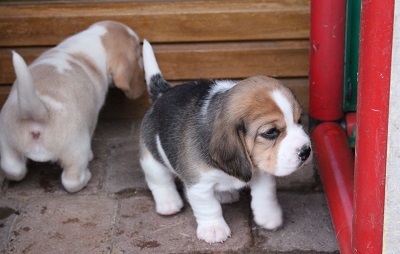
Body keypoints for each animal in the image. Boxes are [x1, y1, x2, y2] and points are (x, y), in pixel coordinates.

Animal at [0, 20, 144, 192]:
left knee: (15, 170)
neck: (94, 38)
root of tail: (40, 112)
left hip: (7, 147)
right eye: (137, 50)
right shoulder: (92, 119)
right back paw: (86, 175)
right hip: (76, 150)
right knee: (71, 181)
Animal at [140, 40, 312, 244]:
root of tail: (161, 94)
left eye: (299, 120)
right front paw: (213, 229)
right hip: (151, 160)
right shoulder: (199, 185)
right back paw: (168, 203)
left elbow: (265, 195)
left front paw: (269, 217)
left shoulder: (262, 172)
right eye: (270, 132)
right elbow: (208, 207)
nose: (306, 151)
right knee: (159, 181)